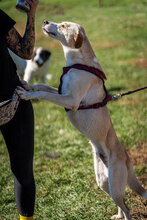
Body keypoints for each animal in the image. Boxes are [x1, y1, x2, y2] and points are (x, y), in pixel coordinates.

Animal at [16, 21, 147, 220]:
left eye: (63, 25)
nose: (45, 22)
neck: (78, 63)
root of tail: (126, 156)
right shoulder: (62, 92)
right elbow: (43, 86)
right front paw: (28, 85)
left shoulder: (71, 100)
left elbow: (45, 93)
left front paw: (27, 95)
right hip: (104, 182)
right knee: (122, 203)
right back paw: (118, 216)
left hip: (114, 183)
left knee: (127, 207)